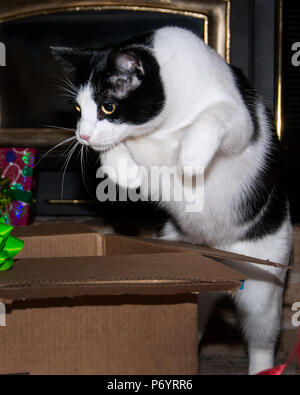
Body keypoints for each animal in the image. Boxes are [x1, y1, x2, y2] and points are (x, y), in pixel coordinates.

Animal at [51, 27, 292, 374]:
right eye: (78, 110)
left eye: (108, 106)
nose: (81, 136)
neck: (161, 127)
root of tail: (216, 253)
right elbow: (111, 148)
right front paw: (125, 172)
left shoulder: (240, 123)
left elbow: (213, 116)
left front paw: (190, 158)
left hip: (264, 289)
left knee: (262, 339)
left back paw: (262, 369)